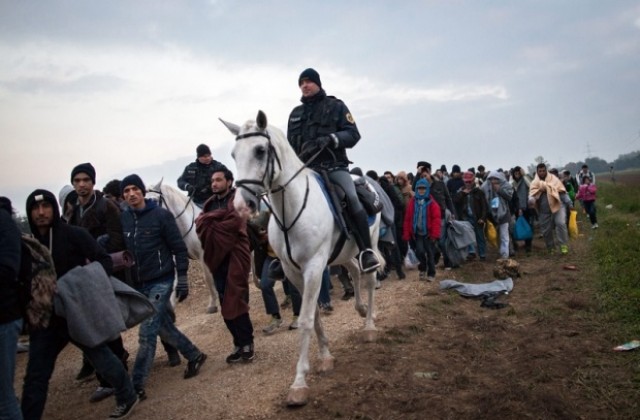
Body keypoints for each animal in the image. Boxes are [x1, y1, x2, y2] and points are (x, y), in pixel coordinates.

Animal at [148, 179, 220, 314]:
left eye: (154, 200)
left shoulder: (203, 255)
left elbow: (207, 278)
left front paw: (213, 304)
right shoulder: (177, 259)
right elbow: (174, 283)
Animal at [221, 110, 380, 406]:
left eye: (260, 151)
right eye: (234, 154)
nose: (241, 205)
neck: (290, 211)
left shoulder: (314, 267)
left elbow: (305, 319)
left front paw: (299, 382)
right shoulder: (293, 272)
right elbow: (313, 314)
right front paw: (326, 356)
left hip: (370, 243)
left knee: (369, 276)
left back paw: (369, 325)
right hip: (342, 254)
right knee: (354, 271)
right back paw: (361, 309)